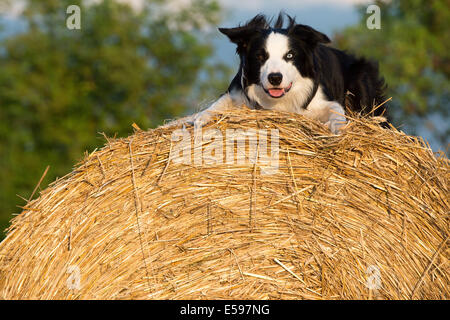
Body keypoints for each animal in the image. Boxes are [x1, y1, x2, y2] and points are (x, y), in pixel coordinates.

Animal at [191, 13, 386, 134]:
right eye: (260, 56)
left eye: (290, 55)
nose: (275, 78)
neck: (280, 100)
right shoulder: (237, 93)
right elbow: (219, 102)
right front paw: (201, 117)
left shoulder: (323, 102)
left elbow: (337, 111)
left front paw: (338, 128)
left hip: (361, 78)